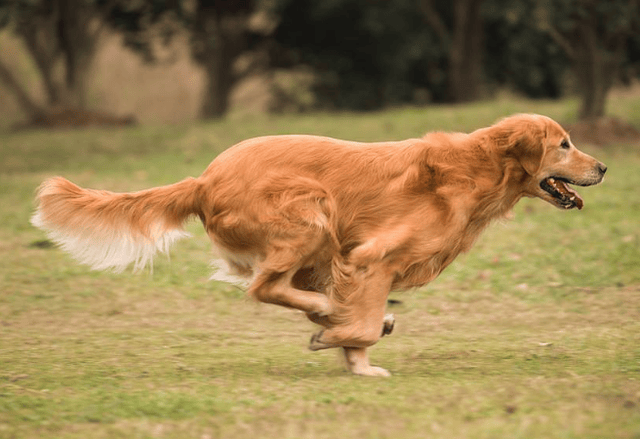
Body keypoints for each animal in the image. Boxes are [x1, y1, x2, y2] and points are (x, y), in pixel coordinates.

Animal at [33, 114, 604, 378]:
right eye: (564, 144)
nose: (602, 167)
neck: (478, 169)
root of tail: (204, 179)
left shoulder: (354, 262)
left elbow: (363, 321)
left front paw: (356, 361)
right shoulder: (372, 257)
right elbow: (363, 322)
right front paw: (348, 345)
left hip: (318, 243)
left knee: (287, 289)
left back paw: (329, 314)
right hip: (311, 212)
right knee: (266, 287)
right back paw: (328, 314)